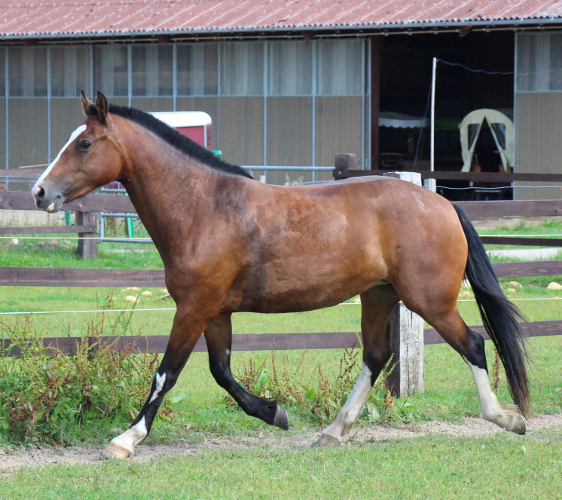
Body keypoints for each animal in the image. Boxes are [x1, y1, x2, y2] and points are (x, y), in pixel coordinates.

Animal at [32, 92, 528, 458]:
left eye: (84, 144)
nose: (39, 192)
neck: (205, 208)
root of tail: (442, 203)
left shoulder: (193, 308)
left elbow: (166, 373)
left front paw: (125, 440)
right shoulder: (214, 311)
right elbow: (221, 372)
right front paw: (274, 412)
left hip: (429, 300)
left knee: (474, 345)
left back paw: (508, 418)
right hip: (380, 295)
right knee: (375, 356)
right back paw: (333, 431)